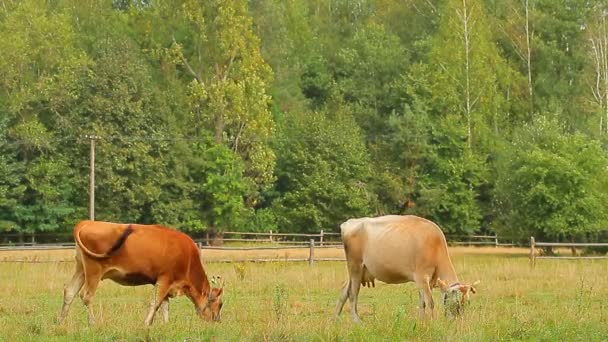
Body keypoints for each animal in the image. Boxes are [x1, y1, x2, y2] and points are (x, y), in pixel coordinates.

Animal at [58, 220, 224, 324]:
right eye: (220, 304)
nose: (217, 320)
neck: (188, 258)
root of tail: (87, 222)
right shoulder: (165, 279)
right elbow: (155, 303)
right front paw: (146, 323)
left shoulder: (164, 283)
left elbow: (164, 306)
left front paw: (165, 325)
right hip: (93, 271)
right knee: (86, 296)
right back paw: (92, 323)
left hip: (81, 269)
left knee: (69, 292)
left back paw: (61, 321)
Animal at [332, 215, 480, 322]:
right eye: (455, 304)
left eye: (466, 304)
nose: (458, 322)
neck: (435, 246)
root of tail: (350, 222)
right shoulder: (421, 277)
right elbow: (430, 302)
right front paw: (432, 323)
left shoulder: (424, 282)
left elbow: (422, 303)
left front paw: (421, 322)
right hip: (355, 266)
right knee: (352, 294)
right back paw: (356, 321)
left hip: (357, 270)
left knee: (344, 291)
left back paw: (335, 319)